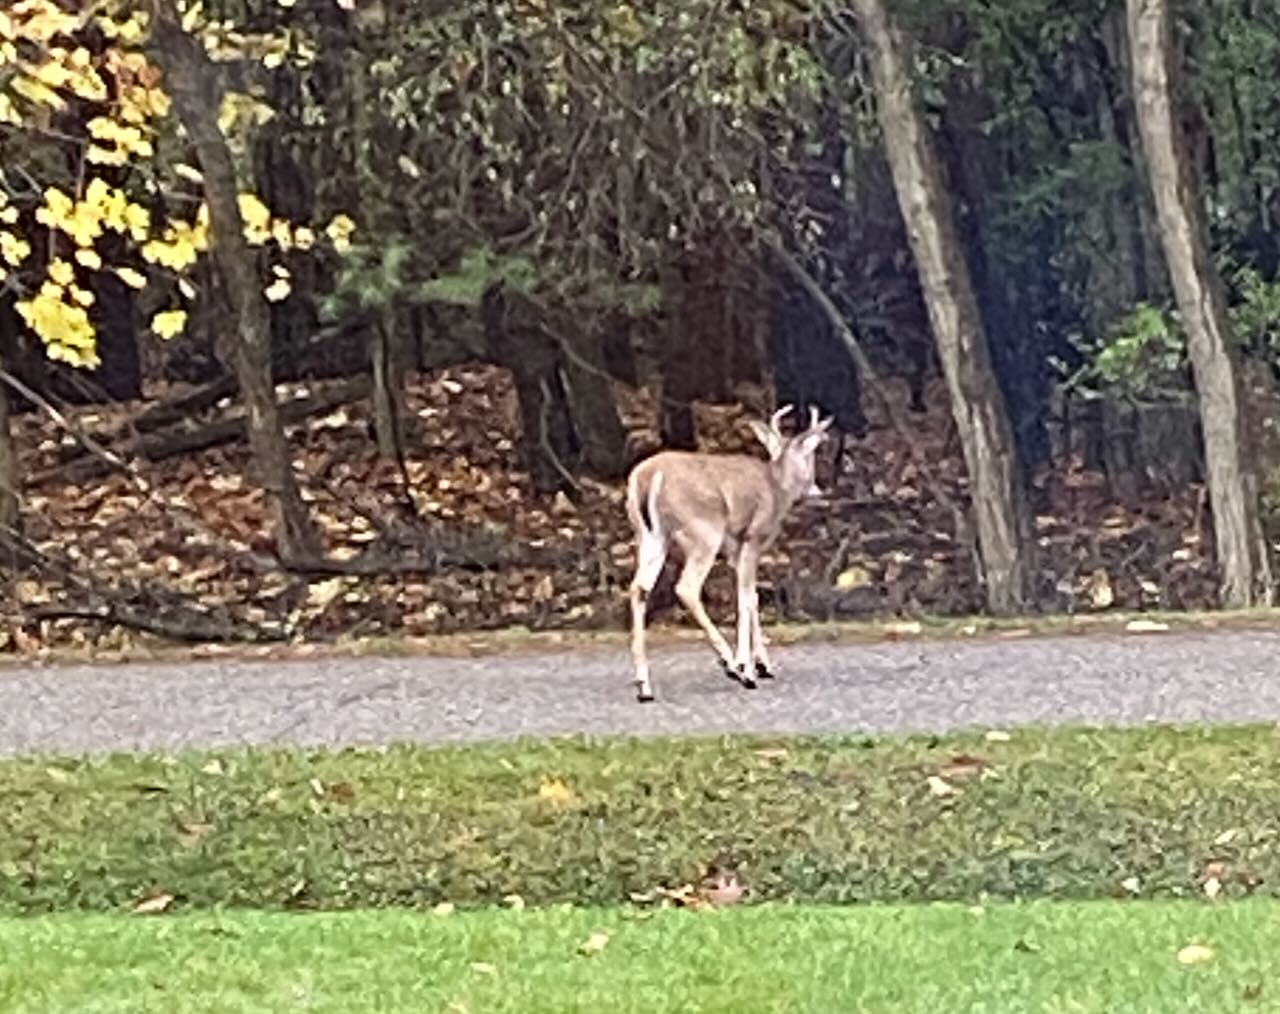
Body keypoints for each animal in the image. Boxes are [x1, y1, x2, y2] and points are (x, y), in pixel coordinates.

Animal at [624, 404, 834, 702]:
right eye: (811, 456)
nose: (816, 490)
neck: (776, 489)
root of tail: (648, 477)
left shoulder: (735, 549)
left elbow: (752, 597)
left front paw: (763, 664)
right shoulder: (752, 538)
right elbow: (746, 598)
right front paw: (748, 667)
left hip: (651, 535)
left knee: (638, 588)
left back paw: (644, 685)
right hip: (704, 530)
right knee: (686, 588)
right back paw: (731, 664)